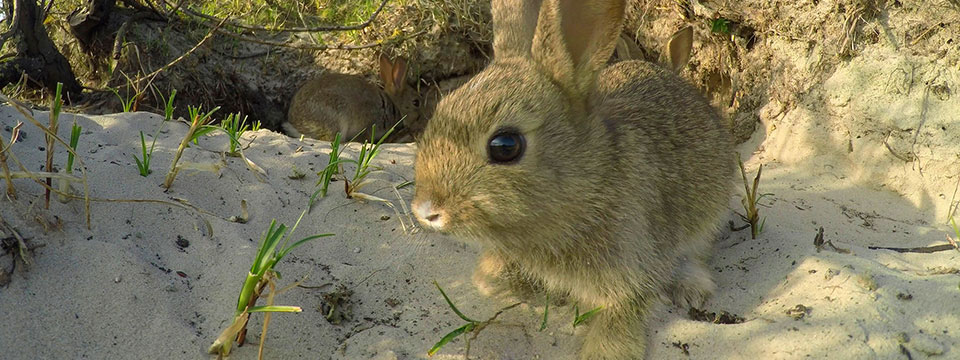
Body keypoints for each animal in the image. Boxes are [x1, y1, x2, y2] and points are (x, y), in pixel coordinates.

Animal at [408, 0, 732, 360]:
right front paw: (505, 284)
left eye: (505, 146)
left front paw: (606, 351)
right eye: (440, 110)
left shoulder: (633, 259)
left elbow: (623, 309)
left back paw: (691, 289)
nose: (426, 210)